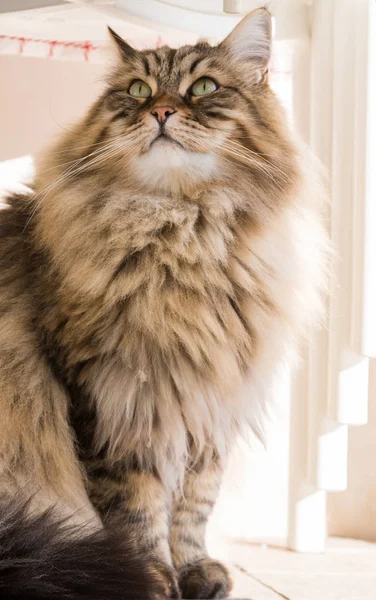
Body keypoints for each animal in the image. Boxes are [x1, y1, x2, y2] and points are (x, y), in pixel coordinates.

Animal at [0, 8, 328, 600]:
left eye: (204, 87)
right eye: (137, 90)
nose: (161, 111)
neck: (184, 235)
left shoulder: (212, 398)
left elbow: (195, 504)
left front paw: (196, 570)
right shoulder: (110, 397)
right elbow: (135, 507)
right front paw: (150, 576)